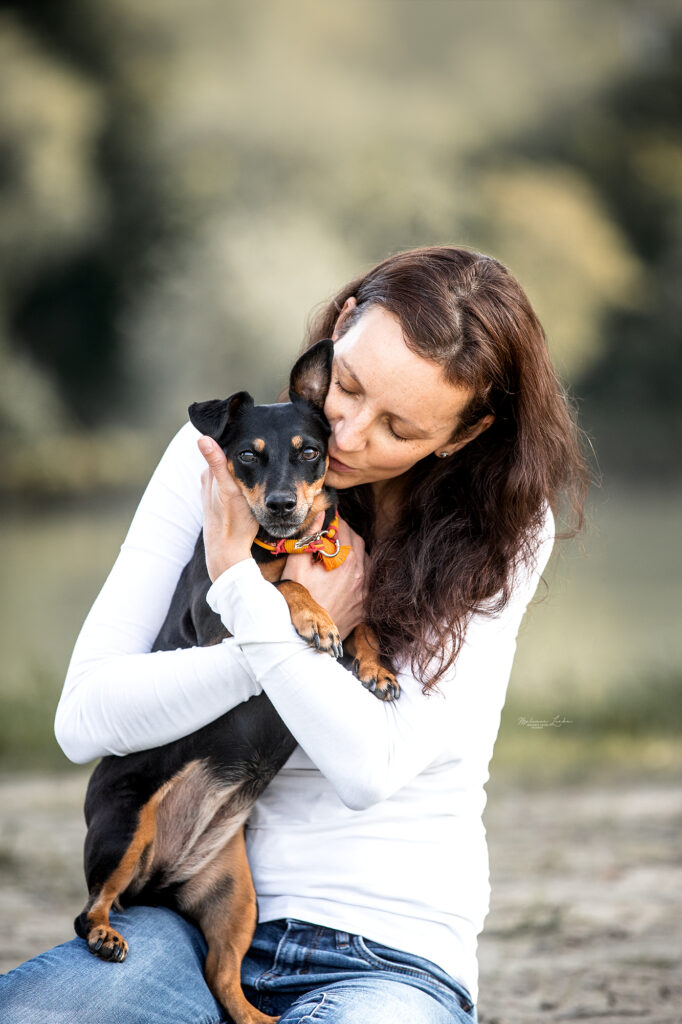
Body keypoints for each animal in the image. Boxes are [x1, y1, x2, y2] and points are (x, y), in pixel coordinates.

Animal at [75, 339, 399, 1024]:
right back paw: (106, 935)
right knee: (89, 909)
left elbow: (362, 622)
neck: (287, 544)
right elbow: (281, 589)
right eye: (248, 455)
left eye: (310, 451)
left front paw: (376, 665)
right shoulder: (216, 620)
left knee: (222, 978)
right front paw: (313, 614)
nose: (280, 505)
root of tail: (163, 879)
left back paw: (259, 1017)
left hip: (235, 897)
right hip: (123, 828)